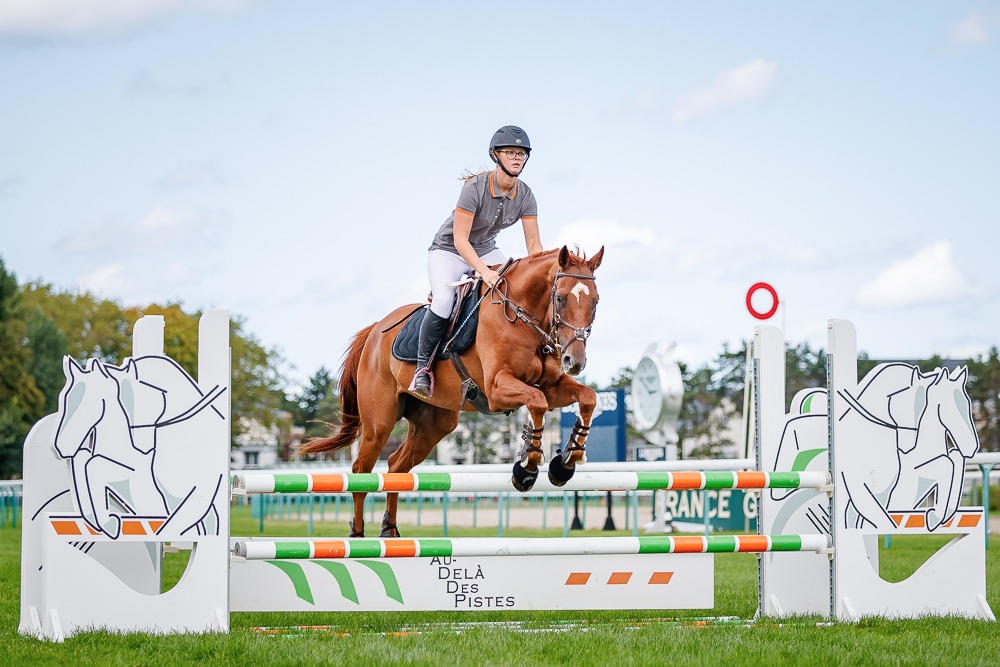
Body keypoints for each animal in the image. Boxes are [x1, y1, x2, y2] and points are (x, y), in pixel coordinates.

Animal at [296, 248, 604, 540]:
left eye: (595, 301)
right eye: (561, 298)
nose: (574, 361)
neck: (522, 315)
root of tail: (374, 331)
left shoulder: (551, 386)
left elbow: (588, 397)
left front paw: (567, 461)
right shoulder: (497, 388)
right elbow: (537, 403)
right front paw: (527, 468)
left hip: (433, 425)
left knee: (395, 466)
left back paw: (389, 530)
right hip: (378, 424)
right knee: (361, 471)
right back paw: (358, 535)